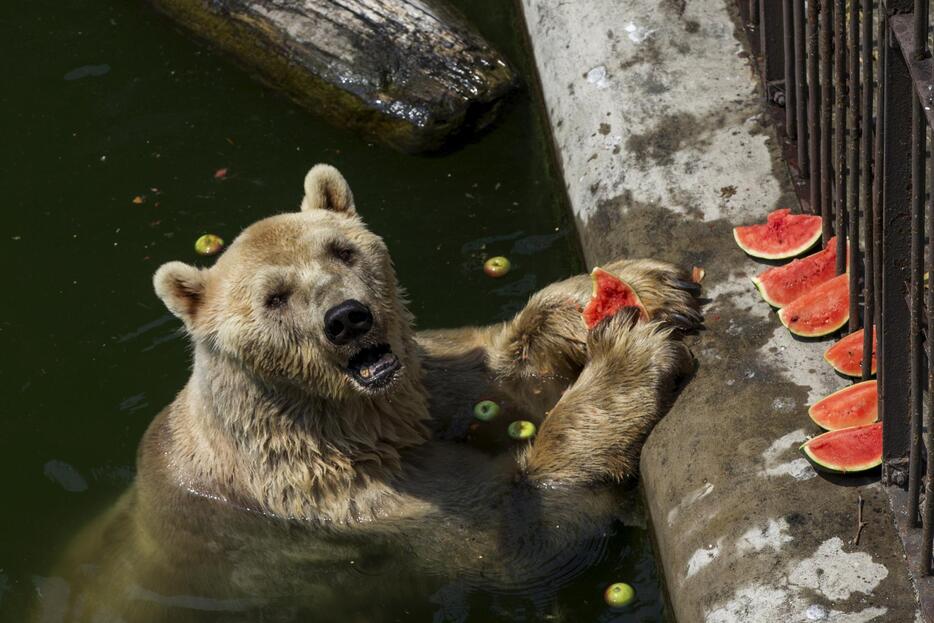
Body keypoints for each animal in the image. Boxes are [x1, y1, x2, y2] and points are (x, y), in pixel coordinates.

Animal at [40, 165, 704, 623]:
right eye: (274, 297)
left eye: (343, 249)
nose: (346, 318)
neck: (341, 420)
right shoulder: (343, 501)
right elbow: (516, 535)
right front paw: (630, 353)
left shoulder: (418, 391)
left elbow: (498, 368)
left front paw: (647, 288)